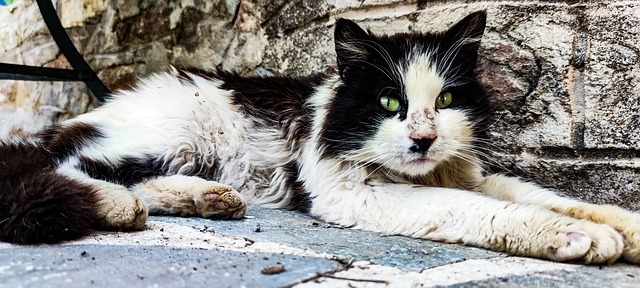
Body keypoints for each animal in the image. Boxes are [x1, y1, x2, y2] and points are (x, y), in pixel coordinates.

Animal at [1, 10, 640, 264]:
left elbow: (546, 196)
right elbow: (479, 210)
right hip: (177, 130)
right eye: (389, 103)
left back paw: (205, 199)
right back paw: (118, 205)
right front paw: (577, 238)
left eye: (447, 102)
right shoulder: (353, 193)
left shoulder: (469, 172)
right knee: (68, 164)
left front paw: (621, 227)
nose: (423, 139)